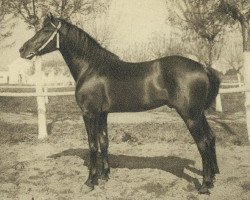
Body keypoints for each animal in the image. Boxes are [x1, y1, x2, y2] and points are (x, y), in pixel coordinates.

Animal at [20, 12, 221, 194]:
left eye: (46, 30)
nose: (22, 50)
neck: (90, 68)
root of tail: (202, 67)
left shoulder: (89, 113)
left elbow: (92, 144)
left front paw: (90, 182)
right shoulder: (102, 114)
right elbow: (104, 142)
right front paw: (104, 175)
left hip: (190, 115)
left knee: (203, 143)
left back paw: (204, 186)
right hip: (199, 113)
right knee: (211, 137)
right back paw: (212, 179)